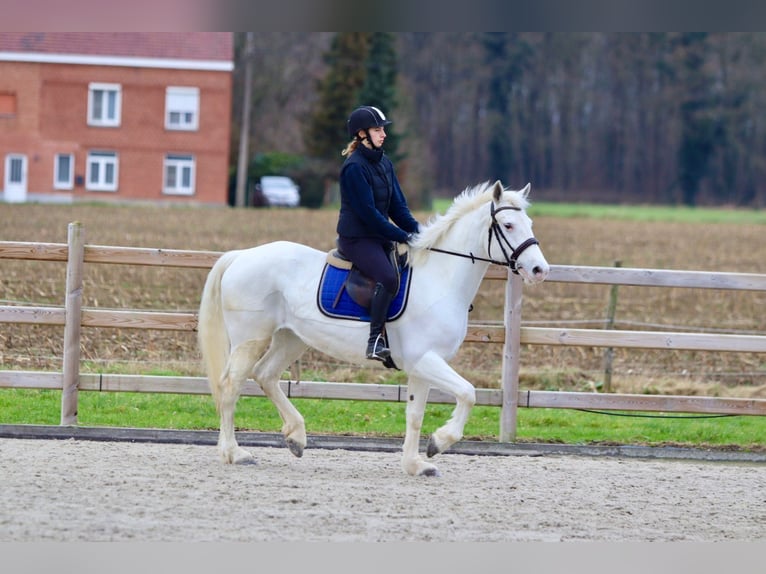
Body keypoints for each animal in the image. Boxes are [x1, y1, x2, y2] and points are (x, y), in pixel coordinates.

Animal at [196, 182, 544, 480]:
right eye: (508, 226)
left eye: (529, 223)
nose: (539, 270)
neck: (440, 280)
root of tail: (241, 256)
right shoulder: (425, 360)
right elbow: (468, 393)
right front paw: (439, 442)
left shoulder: (421, 367)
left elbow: (415, 415)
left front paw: (416, 464)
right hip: (250, 339)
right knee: (231, 386)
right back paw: (235, 454)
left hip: (291, 338)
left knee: (265, 375)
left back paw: (296, 437)